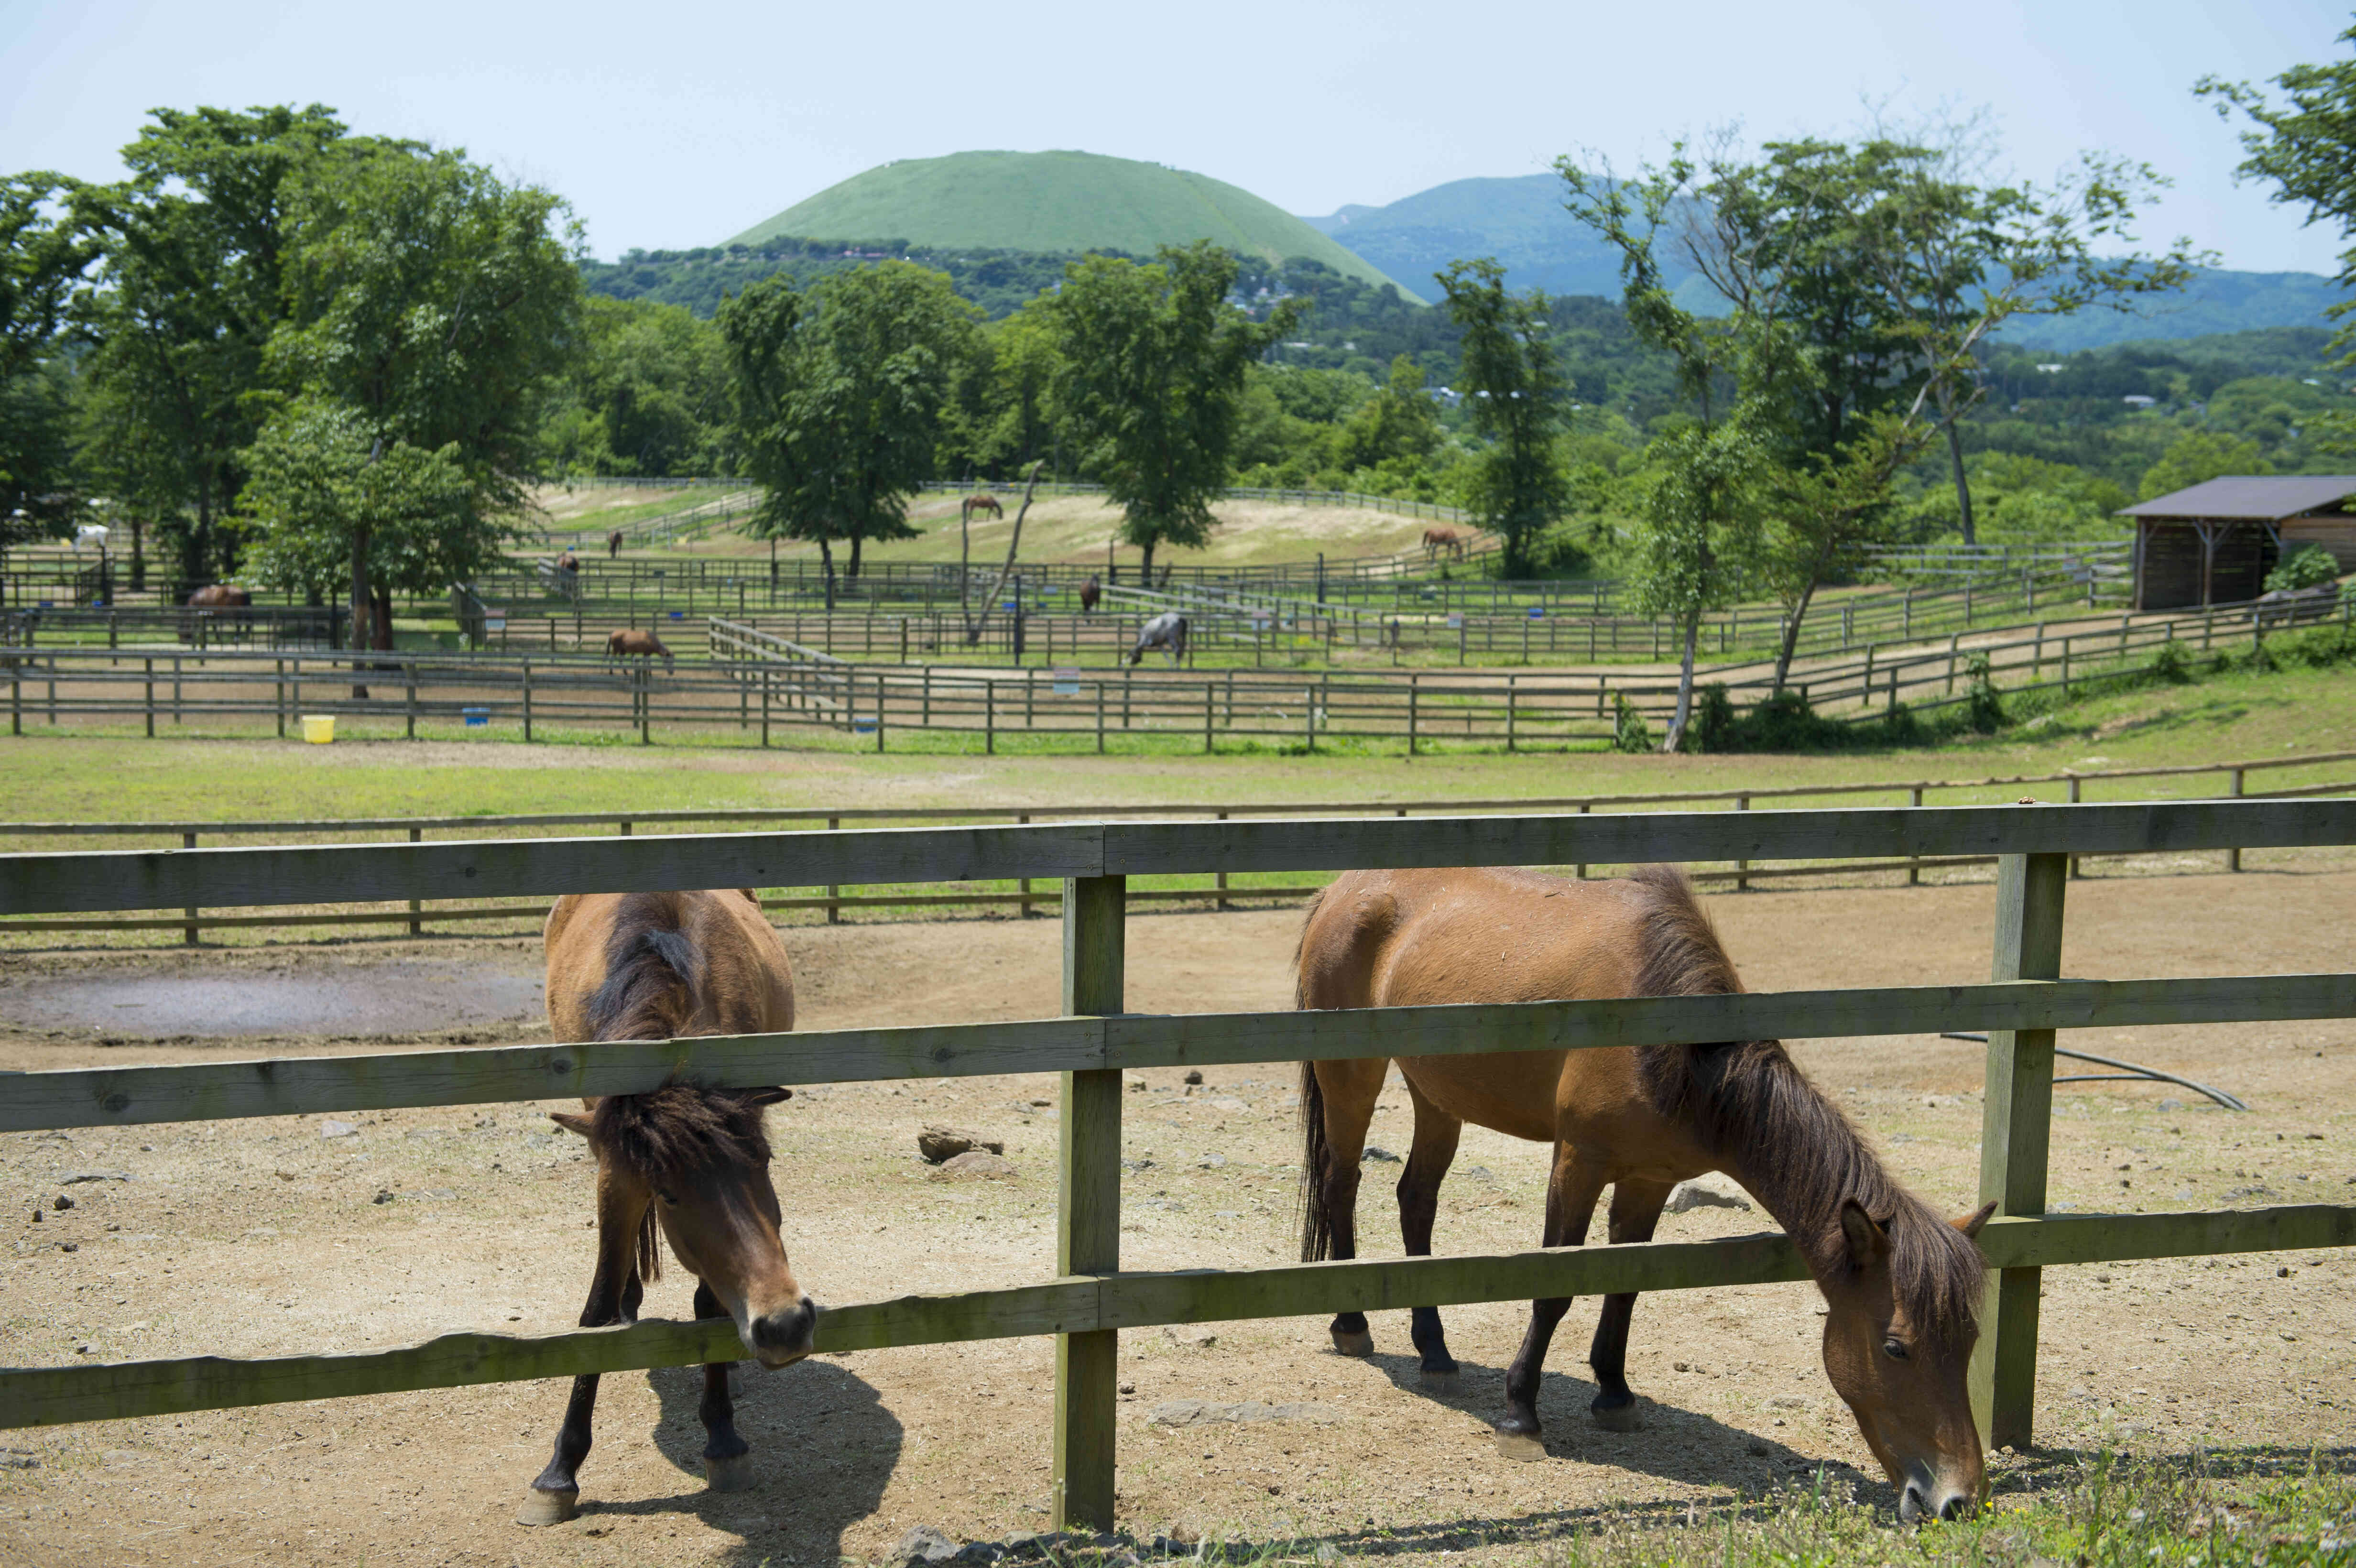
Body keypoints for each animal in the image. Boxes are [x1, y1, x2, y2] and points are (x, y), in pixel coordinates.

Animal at [521, 885, 815, 1516]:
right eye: (670, 1194)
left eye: (764, 1163)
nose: (784, 1324)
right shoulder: (618, 1169)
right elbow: (596, 1308)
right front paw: (560, 1471)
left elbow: (708, 1304)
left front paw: (723, 1438)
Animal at [608, 626, 674, 668]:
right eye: (669, 661)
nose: (671, 673)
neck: (651, 640)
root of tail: (612, 634)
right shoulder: (646, 653)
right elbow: (645, 663)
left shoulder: (647, 654)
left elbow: (647, 663)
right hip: (616, 649)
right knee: (612, 660)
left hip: (623, 651)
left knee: (620, 661)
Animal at [1126, 607, 1187, 664]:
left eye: (1132, 656)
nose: (1132, 663)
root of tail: (1179, 618)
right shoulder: (1160, 645)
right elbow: (1166, 655)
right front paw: (1171, 664)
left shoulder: (1144, 642)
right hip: (1178, 638)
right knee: (1179, 651)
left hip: (1172, 639)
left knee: (1177, 650)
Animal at [1300, 861, 1997, 1516]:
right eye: (1896, 1348)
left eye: (1970, 1342)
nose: (1957, 1499)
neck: (1672, 1040)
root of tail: (1340, 890)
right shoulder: (1578, 1162)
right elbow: (1552, 1289)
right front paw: (1521, 1413)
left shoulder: (1648, 1181)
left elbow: (1627, 1285)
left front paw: (1614, 1394)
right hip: (1352, 1077)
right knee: (1342, 1184)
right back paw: (1351, 1324)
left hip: (1437, 1096)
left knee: (1415, 1201)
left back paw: (1436, 1351)